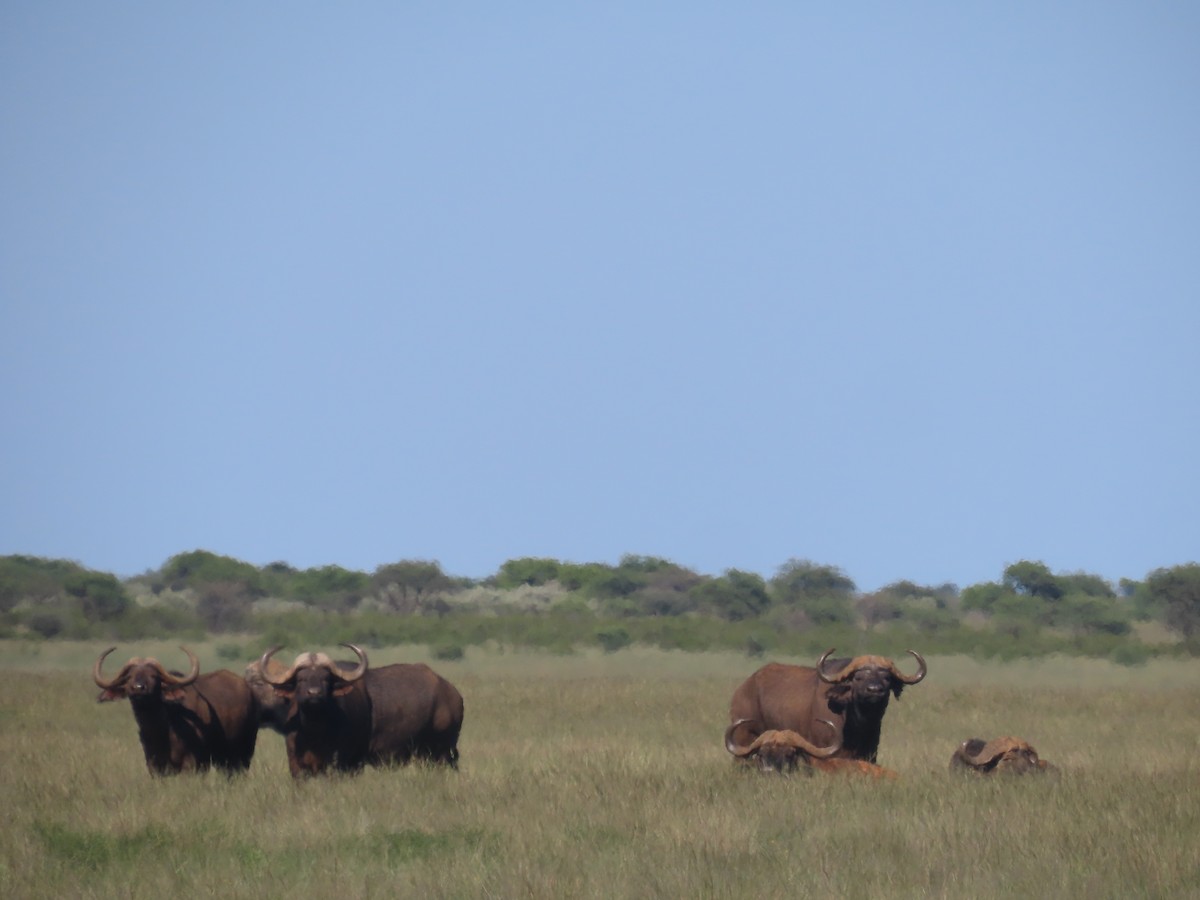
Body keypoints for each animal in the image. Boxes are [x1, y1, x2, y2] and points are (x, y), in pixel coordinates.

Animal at [93, 646, 258, 775]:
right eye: (129, 677)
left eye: (153, 676)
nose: (138, 688)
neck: (161, 730)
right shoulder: (154, 765)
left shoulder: (191, 765)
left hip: (243, 752)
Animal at [258, 643, 464, 778]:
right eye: (301, 679)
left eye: (326, 678)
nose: (314, 693)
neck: (314, 731)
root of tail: (453, 693)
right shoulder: (296, 765)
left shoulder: (348, 761)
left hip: (441, 751)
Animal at [728, 648, 926, 764]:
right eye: (858, 677)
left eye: (886, 677)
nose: (874, 690)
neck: (857, 725)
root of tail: (742, 689)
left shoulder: (870, 753)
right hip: (743, 738)